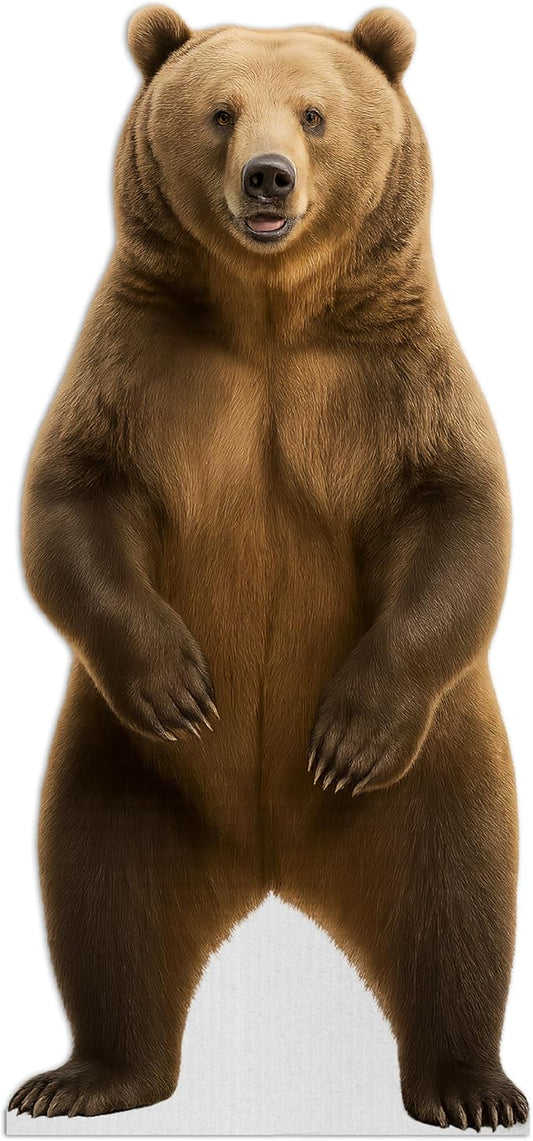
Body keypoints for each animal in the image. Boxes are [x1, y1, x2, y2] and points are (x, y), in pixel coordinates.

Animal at [9, 4, 529, 1129]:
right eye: (219, 110)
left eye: (313, 113)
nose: (267, 179)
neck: (271, 316)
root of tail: (268, 859)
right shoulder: (140, 364)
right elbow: (69, 498)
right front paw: (179, 686)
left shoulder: (394, 379)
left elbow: (459, 513)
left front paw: (345, 734)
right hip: (118, 769)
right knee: (100, 892)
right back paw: (85, 1074)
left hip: (437, 769)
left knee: (459, 895)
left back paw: (468, 1085)